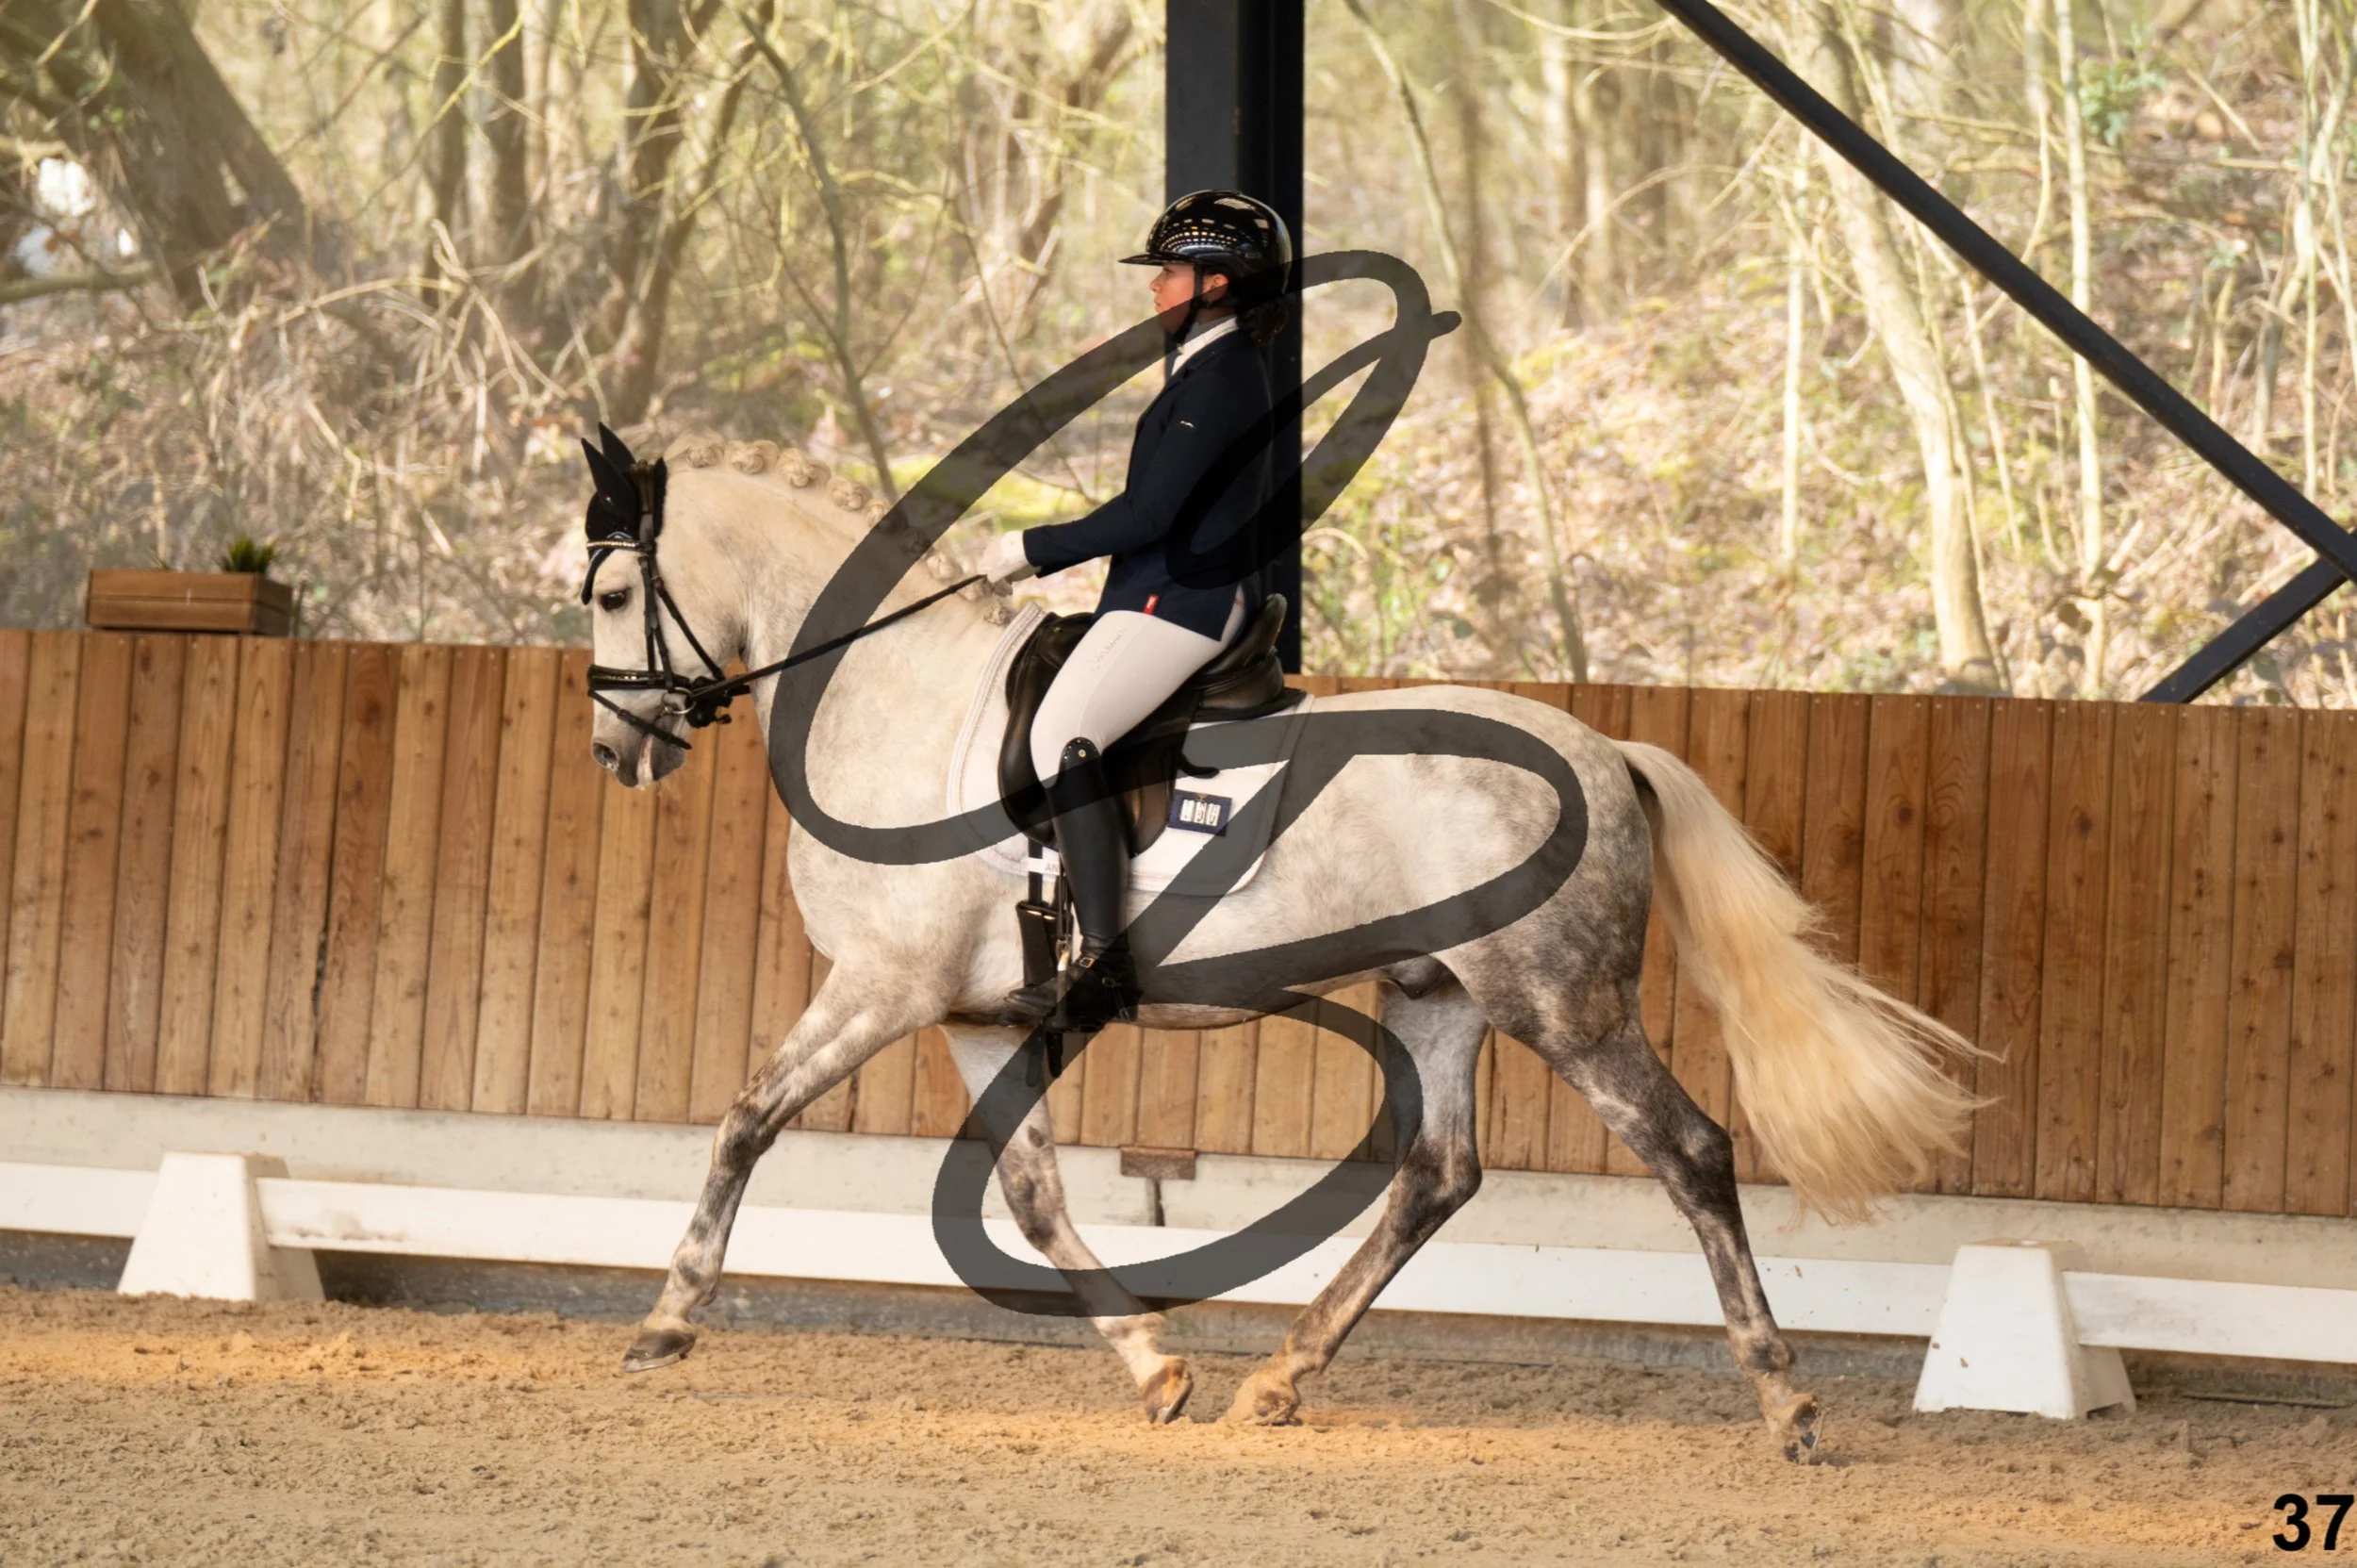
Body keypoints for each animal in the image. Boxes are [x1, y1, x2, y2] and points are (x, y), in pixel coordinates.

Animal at [580, 428, 1976, 1463]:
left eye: (608, 593)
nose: (614, 752)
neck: (898, 705)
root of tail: (1604, 751)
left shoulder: (881, 987)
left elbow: (746, 1118)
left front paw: (667, 1320)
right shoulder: (976, 1018)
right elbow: (1032, 1198)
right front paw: (1156, 1367)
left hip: (1562, 1001)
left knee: (1689, 1151)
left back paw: (1787, 1401)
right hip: (1436, 994)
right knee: (1436, 1177)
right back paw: (1283, 1378)